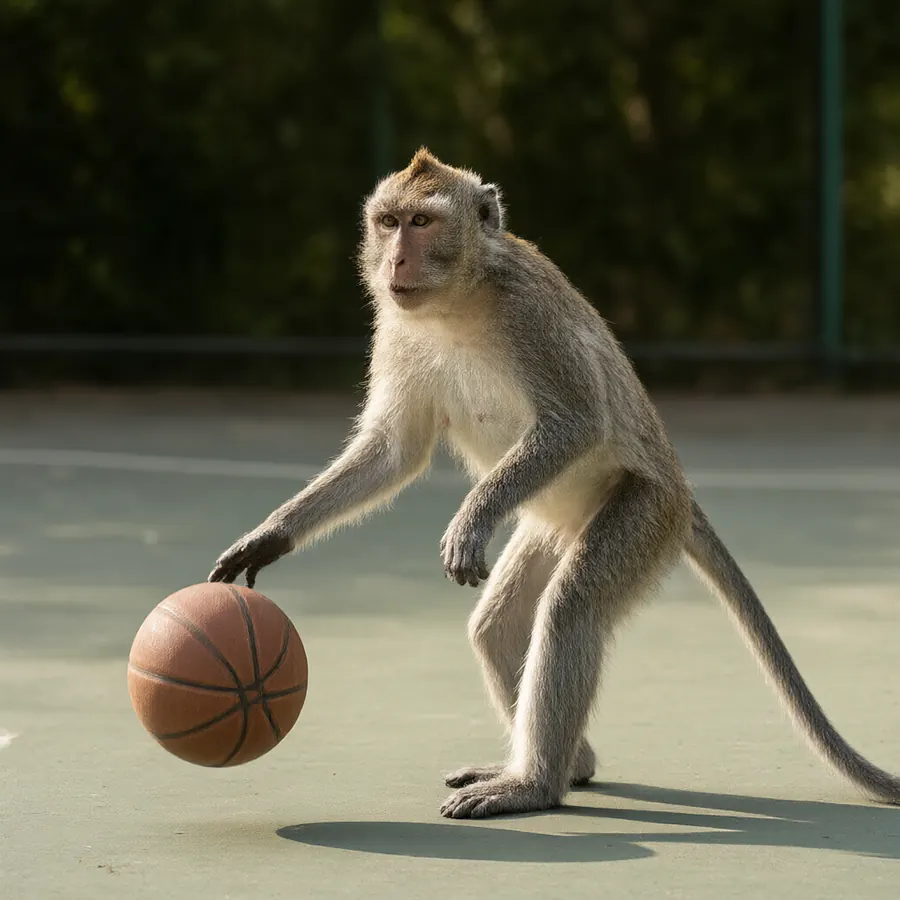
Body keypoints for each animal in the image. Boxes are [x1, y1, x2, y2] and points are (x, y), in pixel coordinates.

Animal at [208, 147, 900, 819]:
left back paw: (533, 785)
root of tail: (682, 494)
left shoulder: (528, 313)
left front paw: (470, 520)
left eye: (423, 222)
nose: (397, 258)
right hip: (553, 522)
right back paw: (569, 764)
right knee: (498, 628)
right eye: (389, 222)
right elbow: (391, 453)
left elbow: (577, 422)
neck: (461, 299)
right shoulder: (397, 329)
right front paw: (269, 537)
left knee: (571, 606)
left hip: (644, 515)